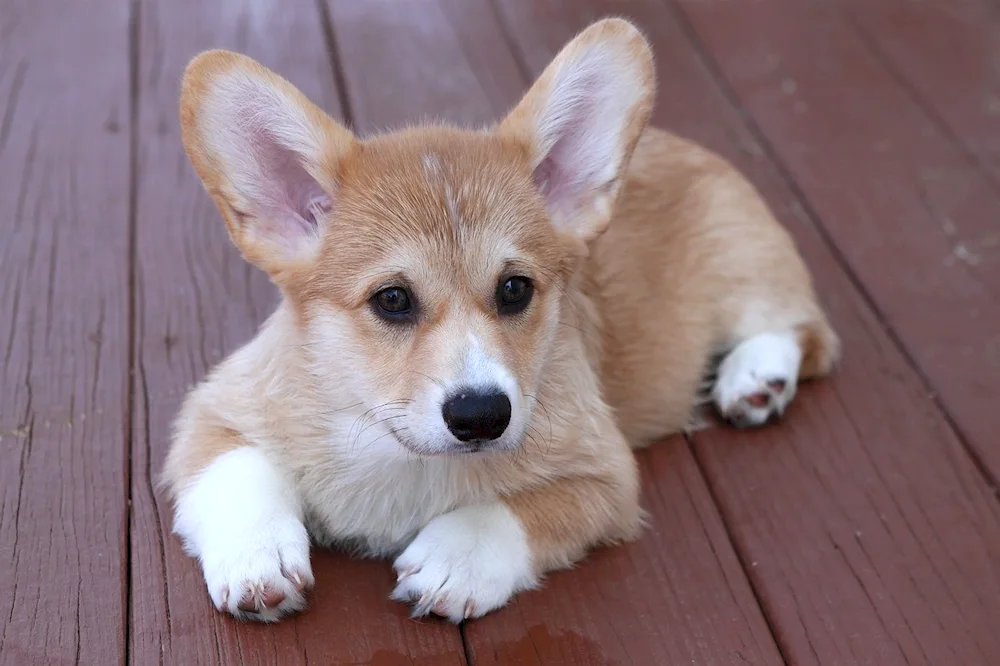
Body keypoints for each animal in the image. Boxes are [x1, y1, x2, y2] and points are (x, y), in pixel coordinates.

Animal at [164, 19, 836, 624]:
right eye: (392, 300)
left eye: (515, 290)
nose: (482, 415)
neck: (401, 454)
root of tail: (687, 142)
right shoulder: (212, 411)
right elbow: (239, 471)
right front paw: (259, 558)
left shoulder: (605, 478)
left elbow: (513, 511)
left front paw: (456, 559)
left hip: (747, 263)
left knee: (802, 329)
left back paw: (756, 379)